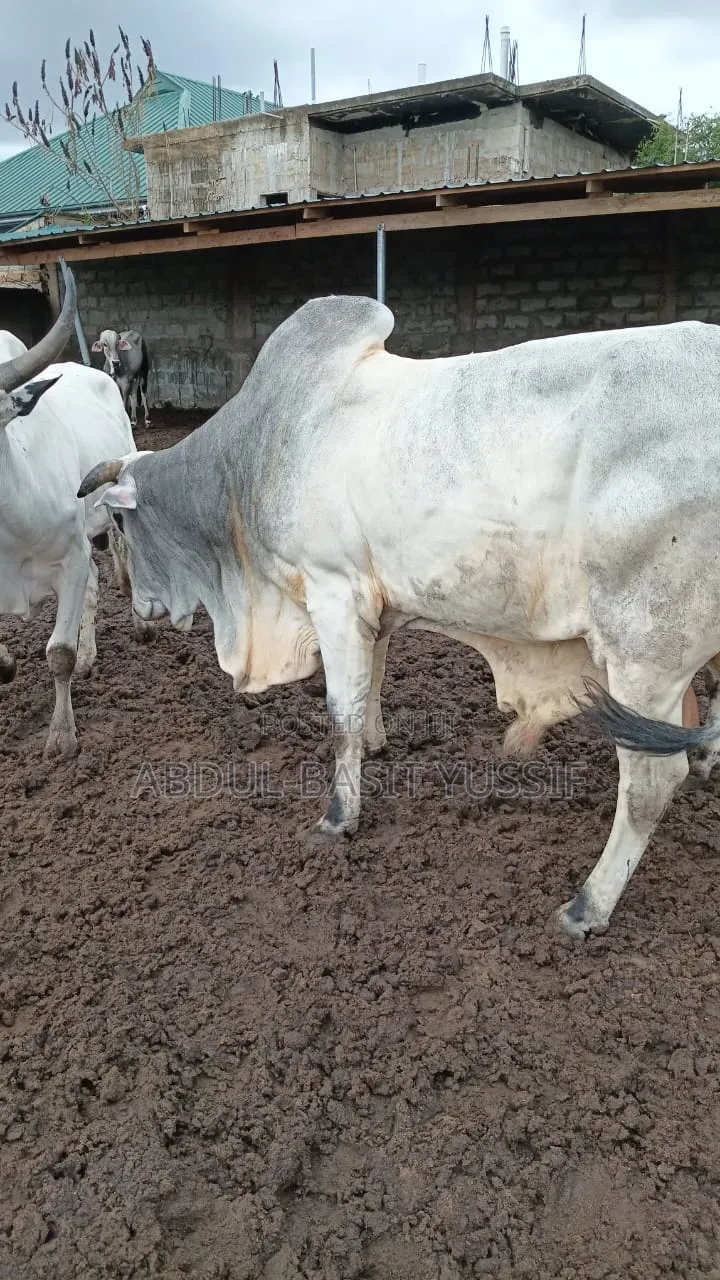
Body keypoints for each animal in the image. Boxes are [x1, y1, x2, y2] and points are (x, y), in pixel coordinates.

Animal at [0, 270, 147, 760]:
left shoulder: (70, 557)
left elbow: (57, 653)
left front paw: (61, 735)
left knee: (123, 561)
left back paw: (139, 622)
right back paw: (88, 655)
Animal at [78, 294, 720, 939]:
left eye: (121, 524)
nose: (139, 607)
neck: (250, 460)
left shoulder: (332, 592)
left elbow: (340, 713)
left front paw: (339, 816)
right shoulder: (372, 603)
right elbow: (373, 685)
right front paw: (377, 745)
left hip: (644, 652)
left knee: (650, 783)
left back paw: (587, 906)